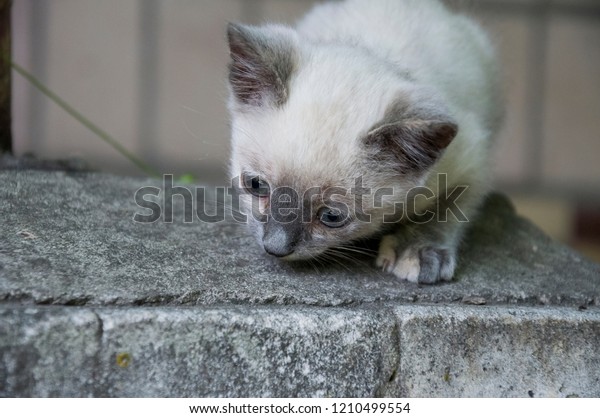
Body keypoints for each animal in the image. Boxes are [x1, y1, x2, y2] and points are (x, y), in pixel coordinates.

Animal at [225, 0, 502, 284]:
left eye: (331, 216)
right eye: (256, 185)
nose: (275, 247)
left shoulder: (472, 159)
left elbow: (449, 209)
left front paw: (417, 249)